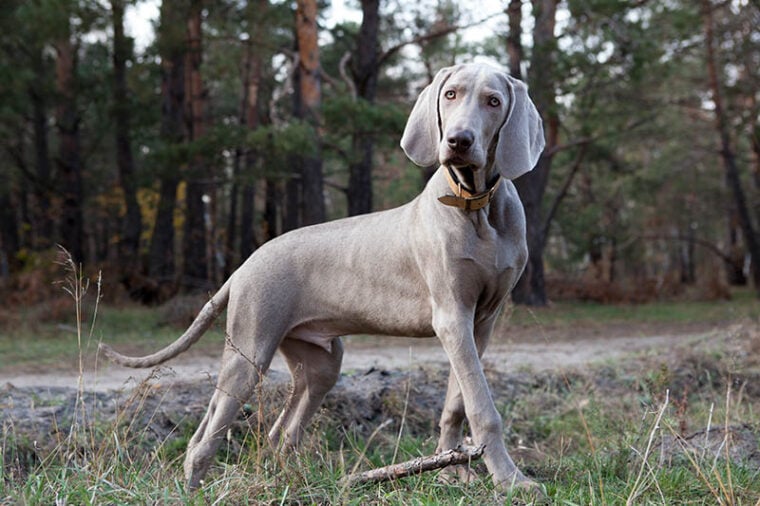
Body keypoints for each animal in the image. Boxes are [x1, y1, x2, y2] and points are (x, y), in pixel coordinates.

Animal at [102, 62, 548, 490]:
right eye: (451, 94)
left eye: (493, 101)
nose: (458, 141)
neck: (475, 205)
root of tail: (244, 265)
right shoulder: (452, 316)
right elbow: (482, 407)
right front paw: (510, 481)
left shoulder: (481, 321)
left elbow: (458, 401)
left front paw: (454, 472)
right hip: (249, 351)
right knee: (208, 436)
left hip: (319, 363)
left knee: (279, 433)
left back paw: (289, 482)